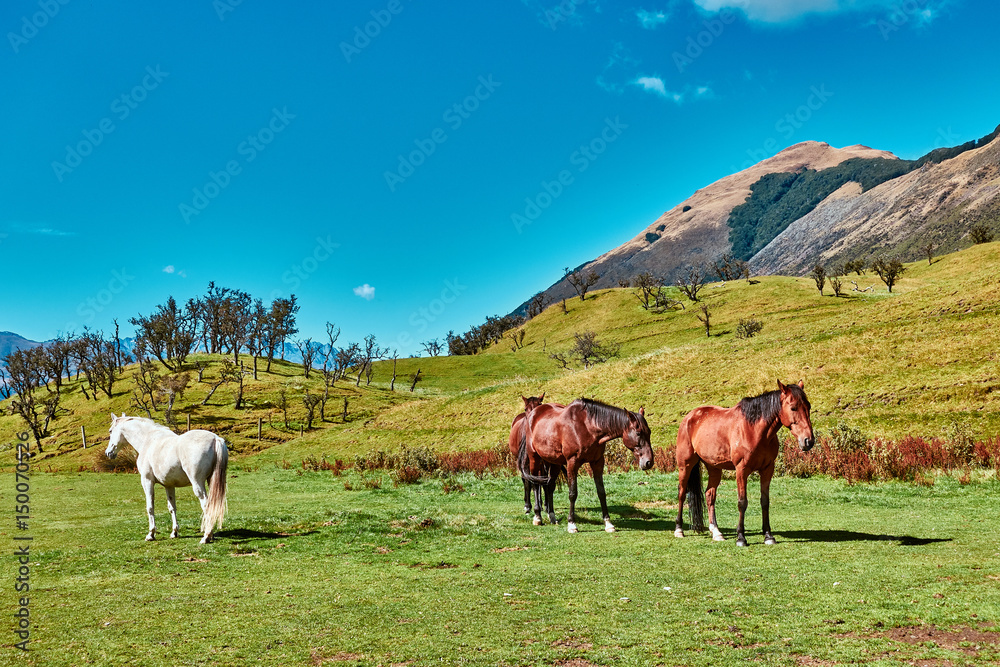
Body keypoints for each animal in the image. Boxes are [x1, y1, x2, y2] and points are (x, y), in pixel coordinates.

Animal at [106, 414, 229, 544]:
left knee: (206, 504)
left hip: (198, 483)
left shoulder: (147, 481)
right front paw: (174, 532)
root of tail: (216, 439)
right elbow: (172, 507)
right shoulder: (169, 485)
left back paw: (206, 536)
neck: (148, 441)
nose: (108, 453)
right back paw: (211, 535)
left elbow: (150, 507)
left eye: (110, 431)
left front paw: (151, 534)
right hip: (211, 481)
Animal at [520, 400, 652, 536]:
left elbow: (601, 492)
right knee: (535, 484)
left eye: (649, 432)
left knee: (550, 486)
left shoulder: (597, 463)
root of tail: (532, 414)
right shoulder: (572, 463)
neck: (587, 427)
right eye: (638, 433)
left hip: (553, 462)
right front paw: (572, 524)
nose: (649, 462)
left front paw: (608, 524)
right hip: (534, 458)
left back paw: (552, 516)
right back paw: (537, 516)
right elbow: (572, 493)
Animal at [672, 380, 812, 548]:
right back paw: (679, 529)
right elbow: (742, 502)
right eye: (793, 408)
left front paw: (768, 536)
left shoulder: (767, 469)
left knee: (710, 495)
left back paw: (716, 532)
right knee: (681, 493)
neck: (754, 430)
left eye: (809, 406)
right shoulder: (741, 470)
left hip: (714, 467)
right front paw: (741, 538)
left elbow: (765, 502)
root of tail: (690, 417)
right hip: (685, 465)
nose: (808, 441)